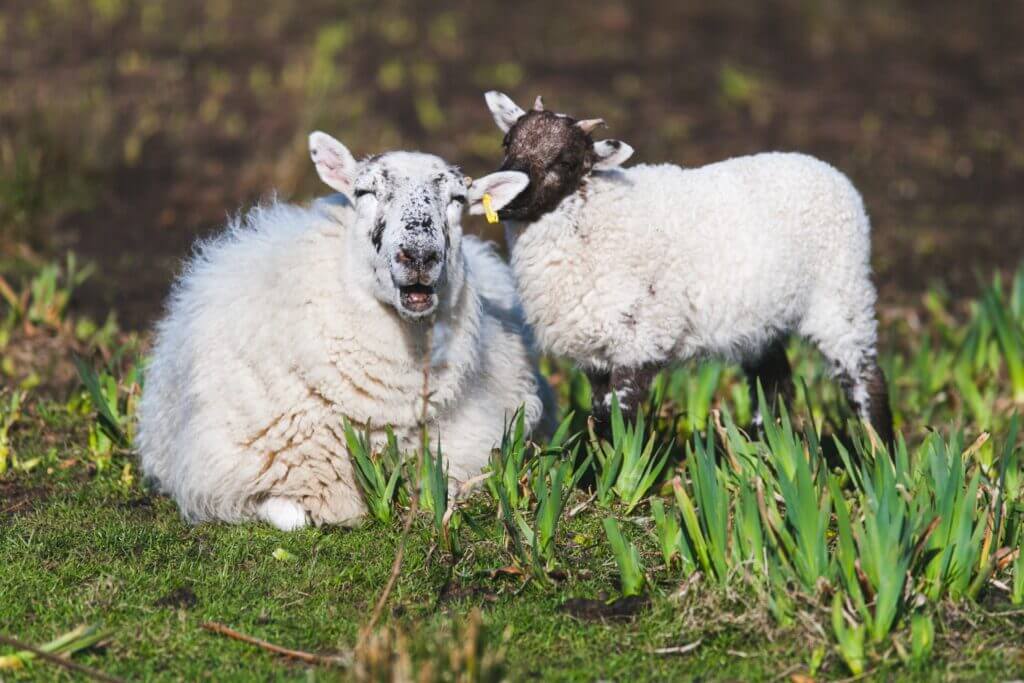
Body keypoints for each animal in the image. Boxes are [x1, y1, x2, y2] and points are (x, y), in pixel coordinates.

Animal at [468, 92, 894, 446]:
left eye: (567, 161)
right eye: (508, 144)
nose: (507, 197)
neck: (593, 214)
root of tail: (828, 170)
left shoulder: (641, 339)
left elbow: (617, 419)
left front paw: (616, 478)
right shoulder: (596, 351)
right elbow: (599, 414)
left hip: (841, 294)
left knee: (865, 377)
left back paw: (880, 455)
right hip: (763, 318)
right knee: (773, 380)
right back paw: (767, 449)